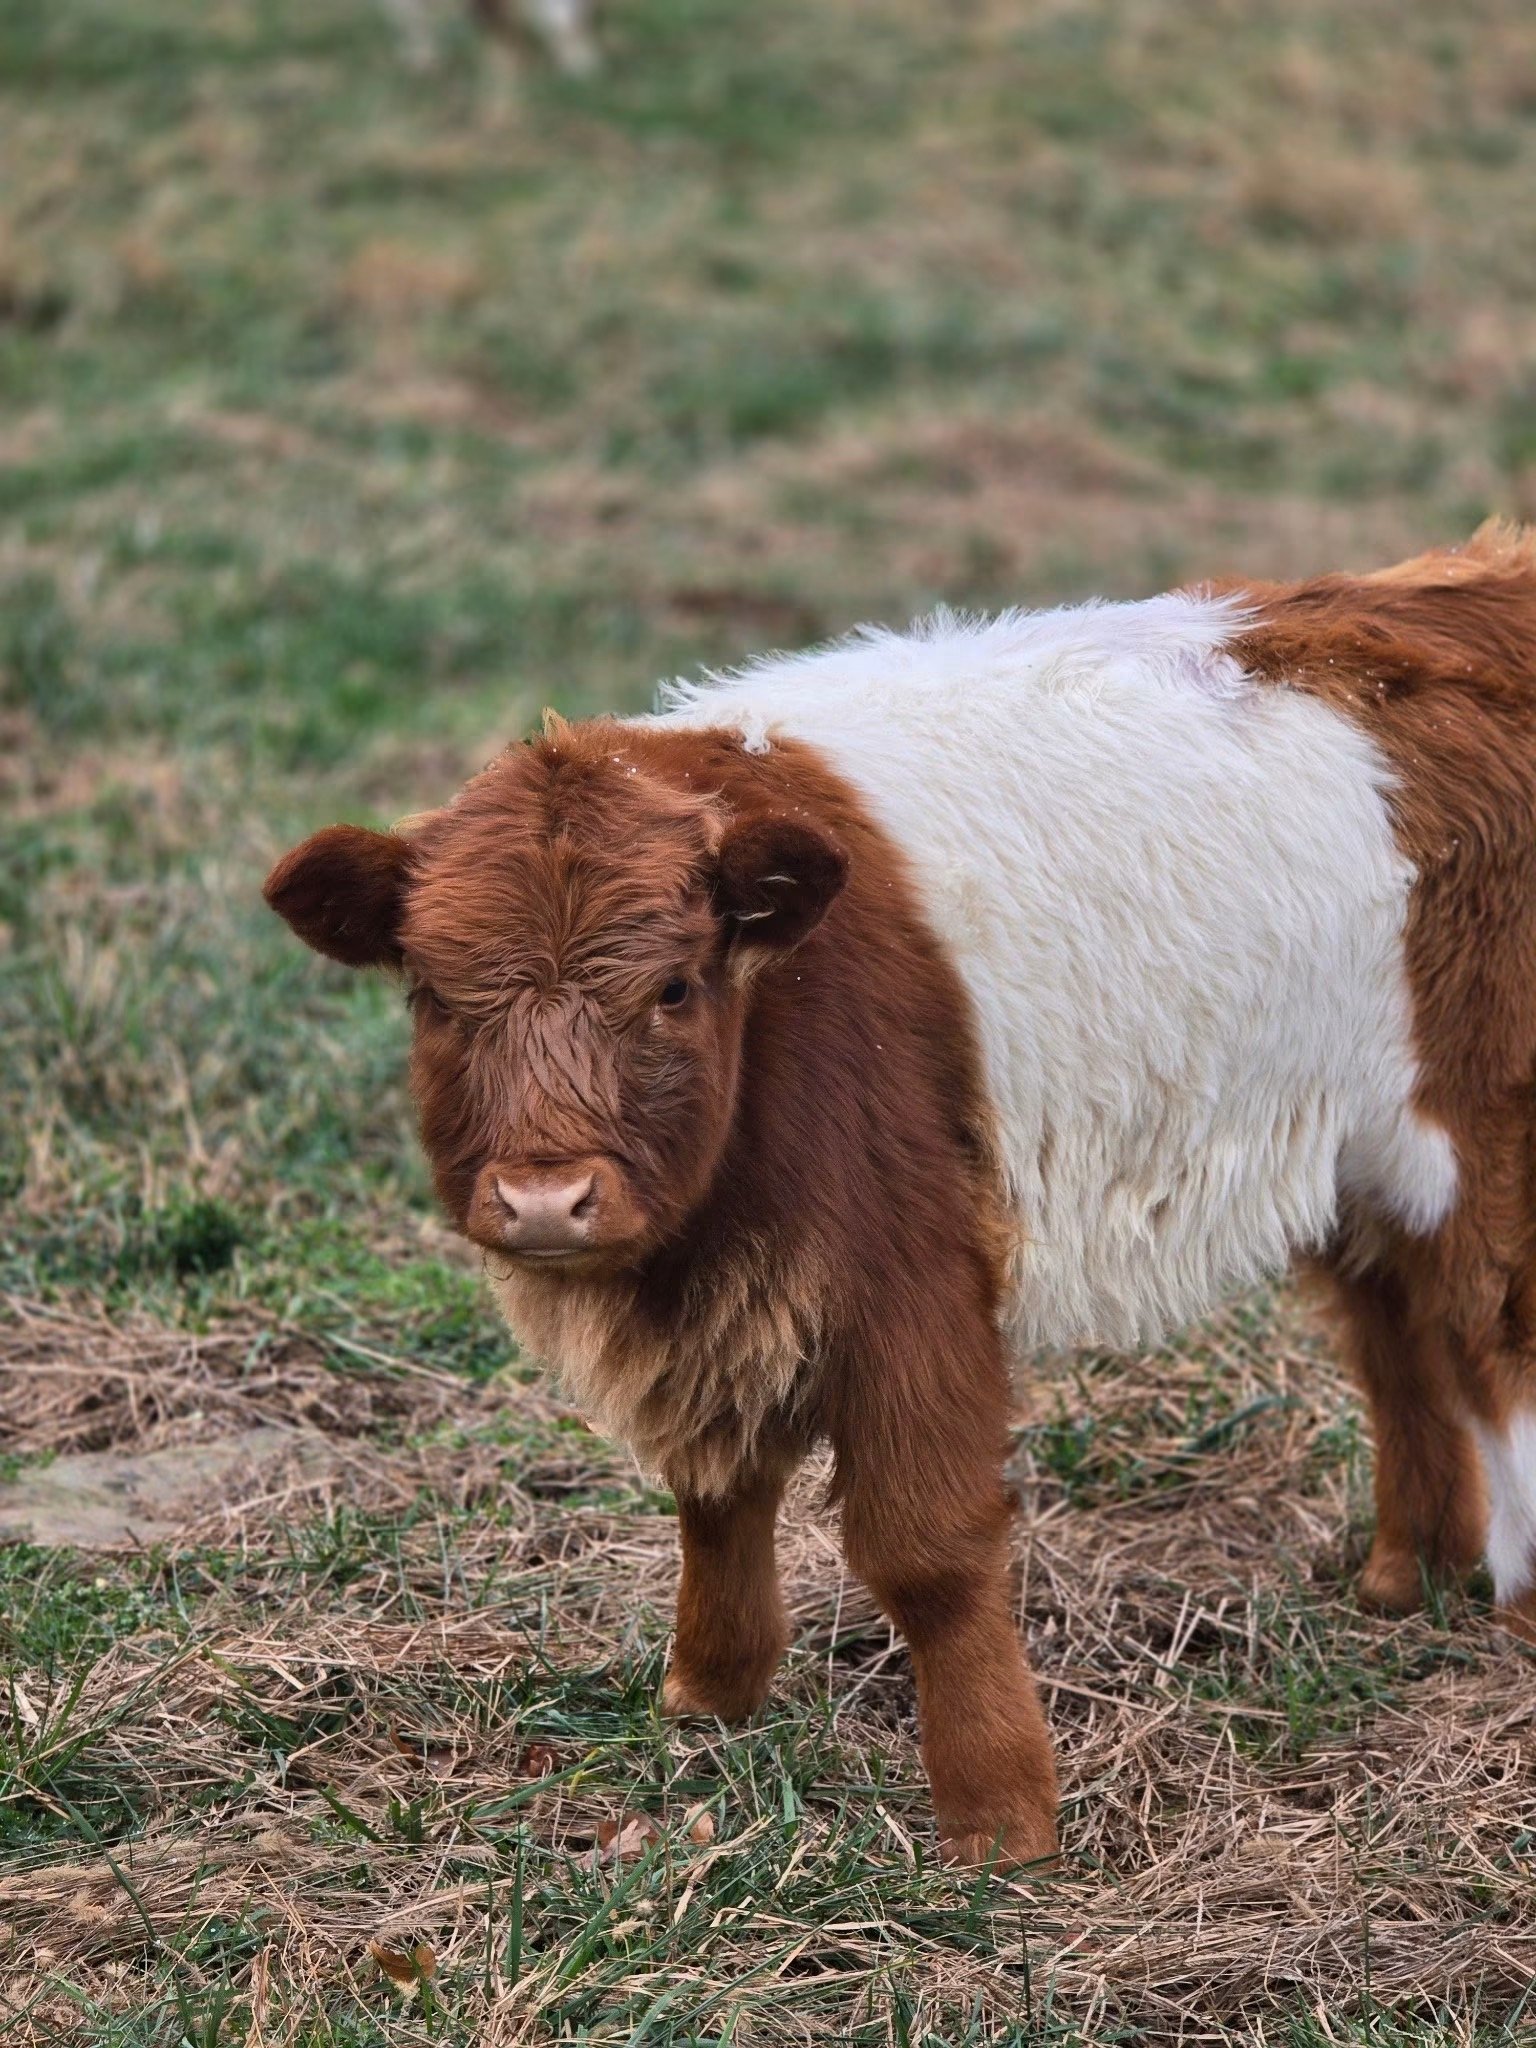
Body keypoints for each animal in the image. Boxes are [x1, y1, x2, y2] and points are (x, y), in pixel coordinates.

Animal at [265, 523, 1536, 1871]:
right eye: (436, 995)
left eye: (672, 986)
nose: (548, 1196)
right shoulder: (728, 1308)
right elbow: (718, 1494)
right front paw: (709, 1694)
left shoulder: (911, 1273)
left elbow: (926, 1548)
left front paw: (999, 1814)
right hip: (1360, 1154)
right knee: (1399, 1336)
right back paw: (1406, 1573)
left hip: (1478, 1130)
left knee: (1494, 1333)